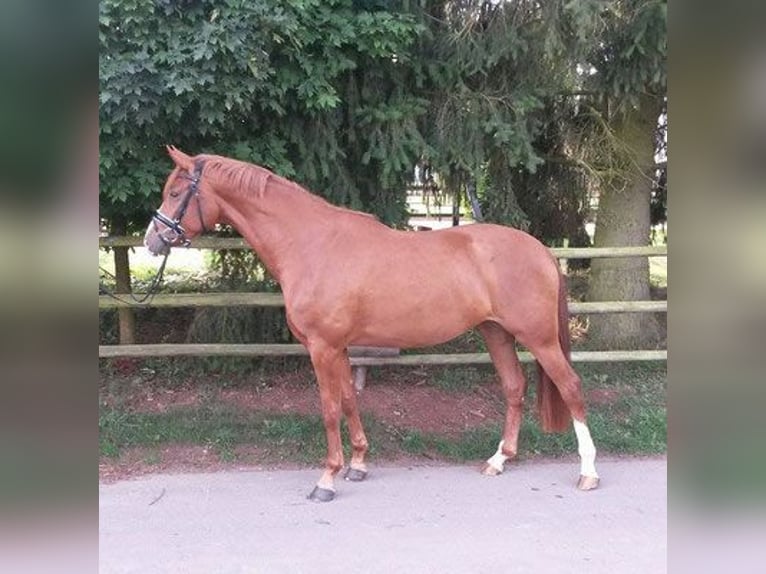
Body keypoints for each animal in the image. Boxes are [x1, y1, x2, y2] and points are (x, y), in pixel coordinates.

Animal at [144, 148, 600, 504]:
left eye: (175, 193)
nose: (152, 240)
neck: (312, 244)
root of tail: (540, 249)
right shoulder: (341, 348)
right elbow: (349, 400)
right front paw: (358, 464)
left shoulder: (322, 347)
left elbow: (329, 408)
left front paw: (327, 479)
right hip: (496, 333)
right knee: (514, 388)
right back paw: (499, 460)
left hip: (539, 338)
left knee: (571, 387)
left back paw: (588, 472)